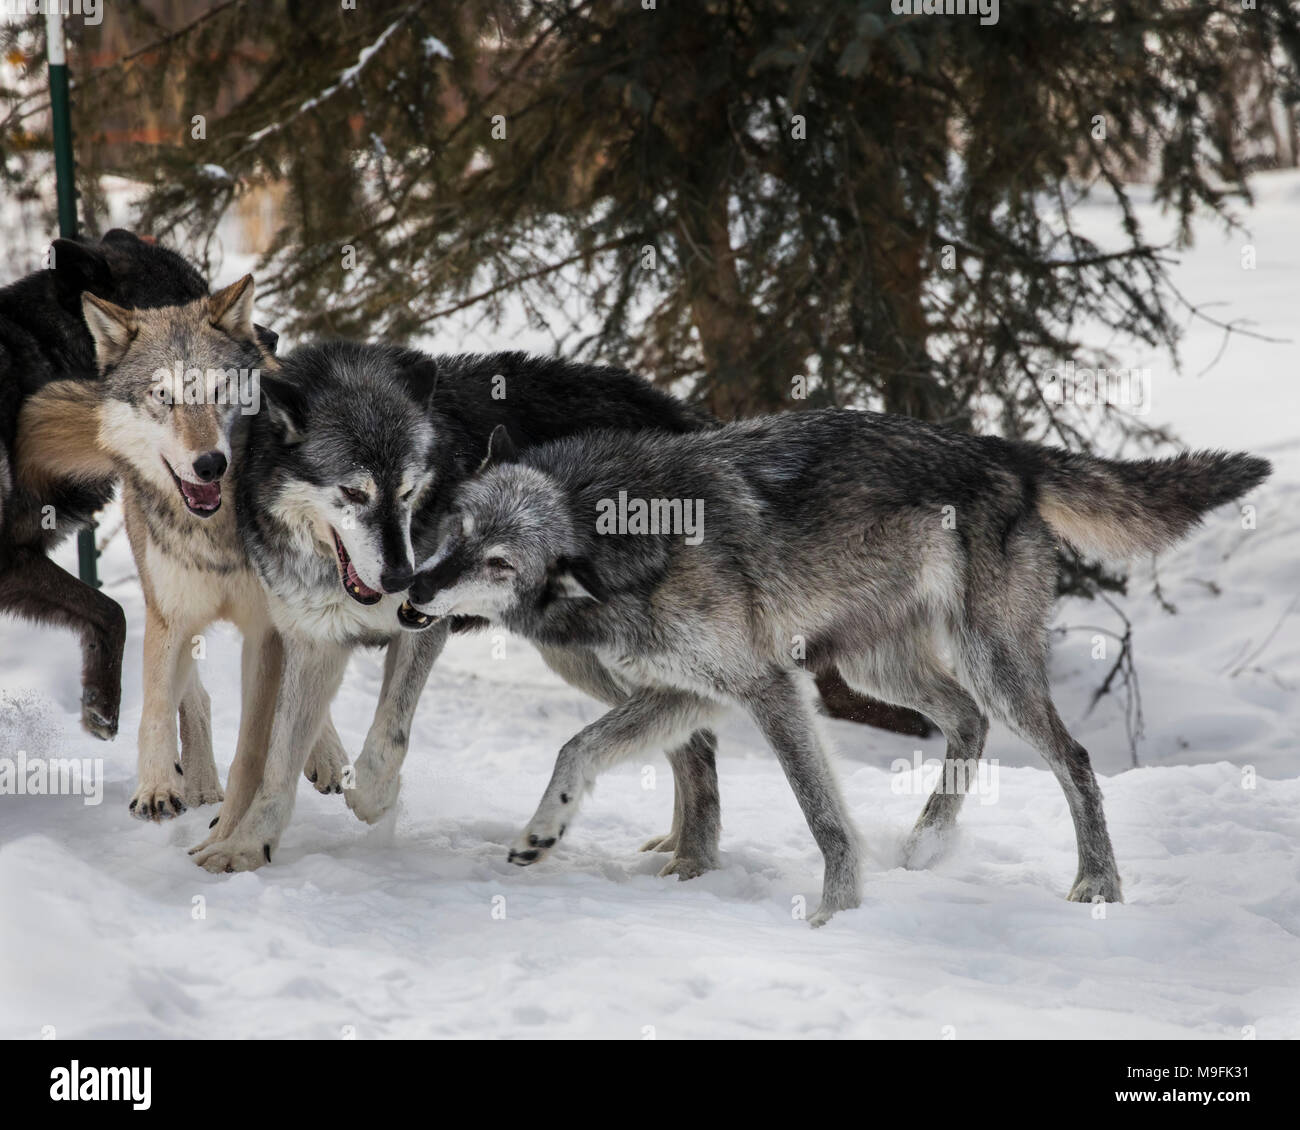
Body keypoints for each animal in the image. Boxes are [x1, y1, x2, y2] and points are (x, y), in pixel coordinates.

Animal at [0, 228, 206, 738]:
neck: (47, 359)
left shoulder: (17, 558)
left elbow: (106, 609)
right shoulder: (10, 557)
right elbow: (112, 610)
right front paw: (103, 706)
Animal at [183, 343, 722, 873]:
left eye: (406, 491)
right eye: (354, 492)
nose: (403, 578)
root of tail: (691, 418)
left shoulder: (422, 628)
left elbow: (388, 740)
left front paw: (375, 800)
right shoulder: (316, 642)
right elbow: (278, 764)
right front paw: (245, 848)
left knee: (697, 742)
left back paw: (693, 859)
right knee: (690, 736)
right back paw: (676, 846)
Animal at [397, 410, 1268, 920]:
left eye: (501, 564)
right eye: (457, 529)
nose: (414, 587)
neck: (622, 536)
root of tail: (1000, 448)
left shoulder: (765, 688)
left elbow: (823, 816)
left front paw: (837, 913)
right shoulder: (692, 694)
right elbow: (575, 749)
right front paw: (542, 832)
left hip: (985, 664)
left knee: (1075, 758)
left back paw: (1098, 885)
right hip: (880, 668)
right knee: (966, 721)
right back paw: (927, 843)